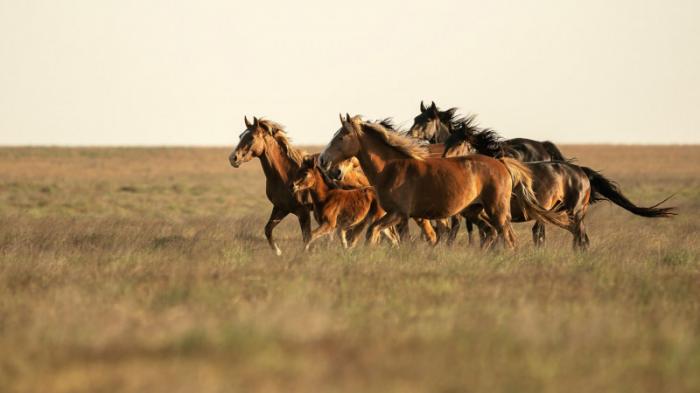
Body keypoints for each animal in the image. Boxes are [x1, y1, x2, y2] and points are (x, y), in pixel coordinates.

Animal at [318, 114, 568, 248]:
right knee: (490, 233)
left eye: (341, 137)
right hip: (475, 211)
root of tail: (502, 163)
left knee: (508, 237)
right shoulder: (399, 216)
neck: (393, 167)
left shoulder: (399, 213)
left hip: (497, 210)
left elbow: (373, 232)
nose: (323, 160)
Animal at [442, 121, 680, 248]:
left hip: (575, 212)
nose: (444, 160)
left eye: (460, 142)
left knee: (580, 239)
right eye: (446, 140)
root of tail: (581, 171)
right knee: (580, 239)